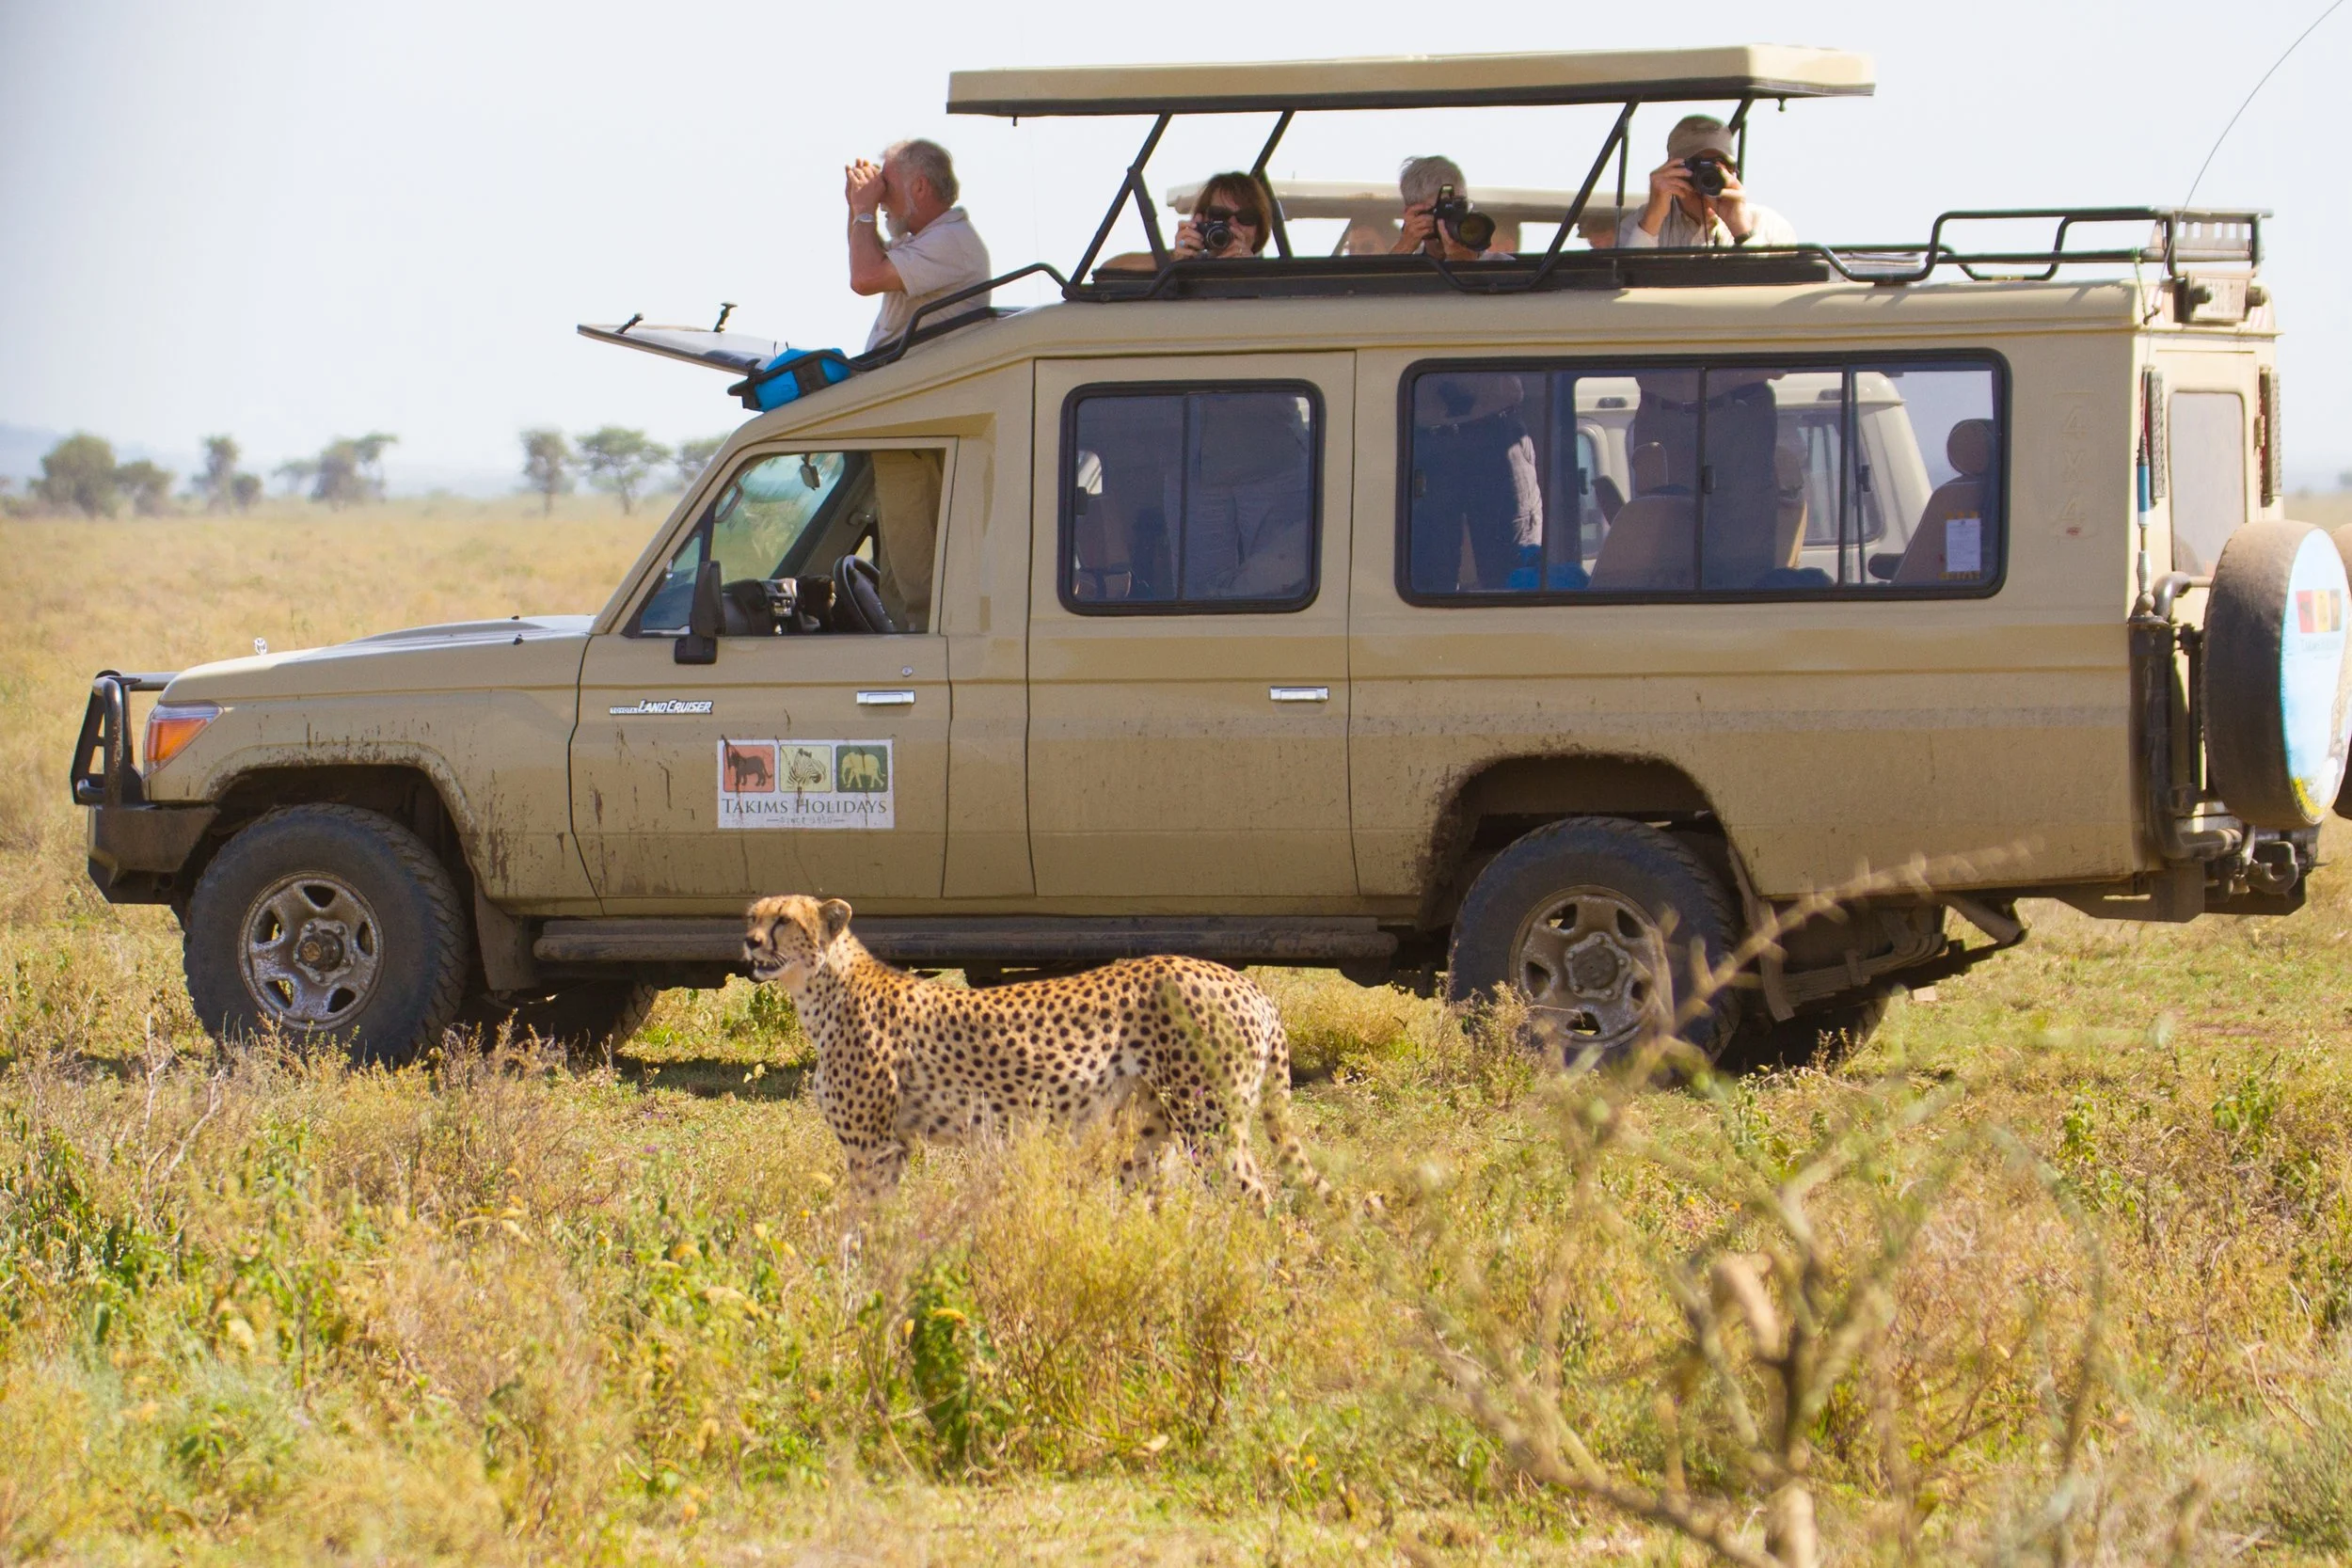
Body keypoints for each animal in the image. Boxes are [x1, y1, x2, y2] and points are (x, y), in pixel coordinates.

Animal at [743, 894, 1331, 1207]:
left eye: (784, 920)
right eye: (752, 916)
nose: (748, 942)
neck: (821, 989)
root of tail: (1245, 983)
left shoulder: (873, 1147)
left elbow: (862, 1227)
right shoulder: (894, 1146)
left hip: (1209, 1123)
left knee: (1255, 1197)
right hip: (1155, 1127)